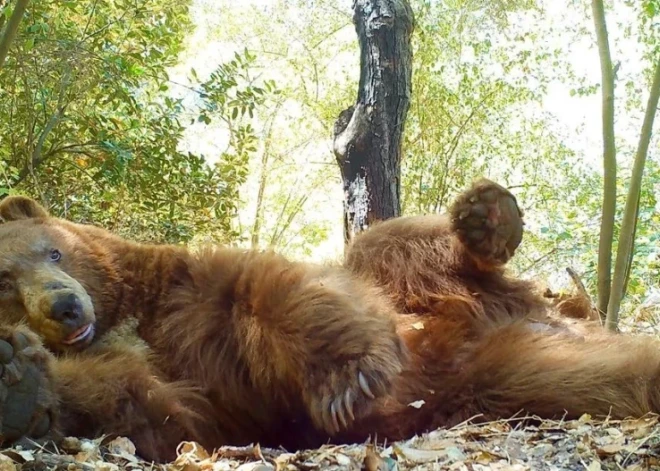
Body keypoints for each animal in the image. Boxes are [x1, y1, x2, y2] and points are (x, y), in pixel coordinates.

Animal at [0, 181, 660, 464]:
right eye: (6, 284)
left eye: (54, 251)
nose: (65, 307)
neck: (127, 313)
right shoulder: (203, 394)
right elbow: (153, 410)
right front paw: (18, 379)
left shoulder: (187, 287)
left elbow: (269, 292)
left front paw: (348, 376)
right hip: (503, 377)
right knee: (589, 375)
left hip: (431, 291)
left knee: (388, 243)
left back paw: (487, 218)